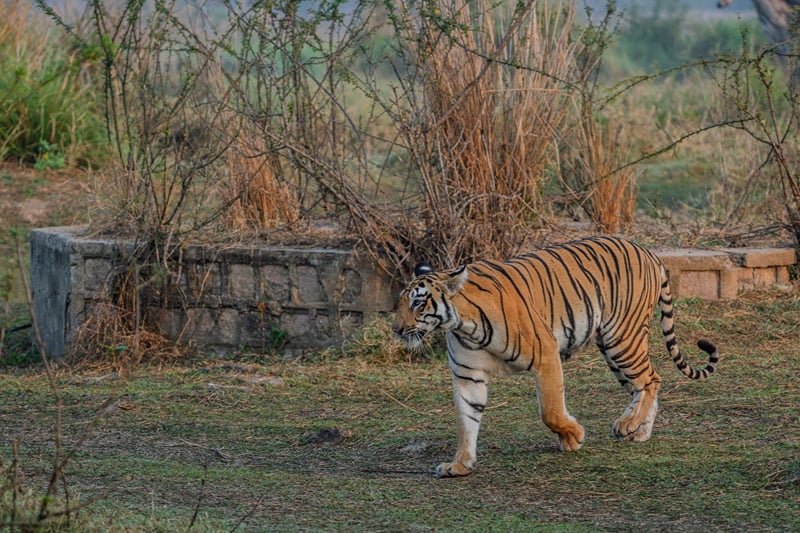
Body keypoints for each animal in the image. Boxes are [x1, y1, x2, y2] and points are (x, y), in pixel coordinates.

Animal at [392, 235, 719, 478]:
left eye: (418, 303)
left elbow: (550, 410)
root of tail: (648, 251)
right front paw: (460, 464)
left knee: (651, 379)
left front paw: (574, 436)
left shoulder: (545, 353)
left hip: (622, 339)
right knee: (643, 385)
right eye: (401, 302)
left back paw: (627, 425)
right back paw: (638, 430)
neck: (462, 324)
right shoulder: (467, 375)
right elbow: (466, 419)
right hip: (612, 349)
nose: (396, 329)